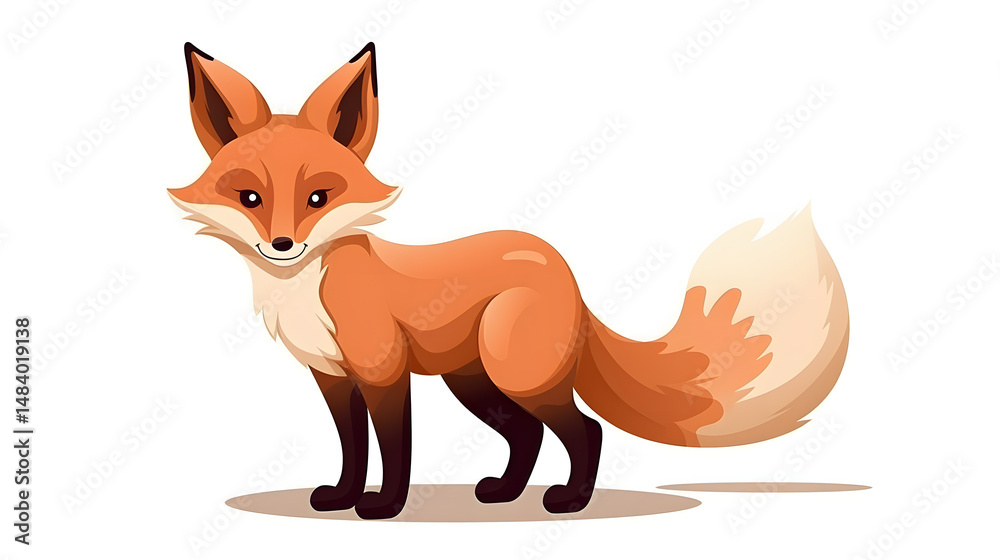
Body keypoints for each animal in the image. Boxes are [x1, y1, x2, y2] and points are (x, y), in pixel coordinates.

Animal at [170, 42, 849, 520]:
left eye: (318, 197)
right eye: (250, 198)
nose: (284, 245)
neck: (307, 290)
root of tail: (561, 266)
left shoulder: (383, 370)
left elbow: (394, 449)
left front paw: (384, 507)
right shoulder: (333, 377)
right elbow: (353, 448)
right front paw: (341, 497)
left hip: (513, 375)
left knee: (585, 430)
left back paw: (569, 501)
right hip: (476, 383)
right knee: (529, 433)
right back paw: (504, 492)